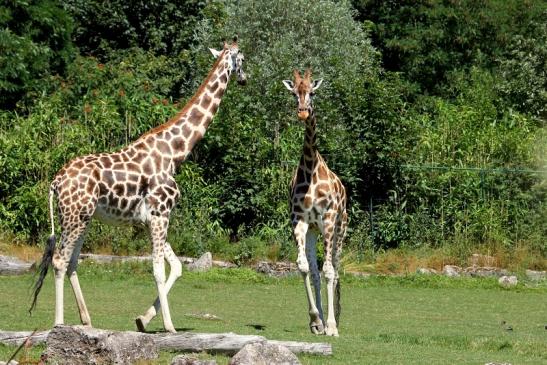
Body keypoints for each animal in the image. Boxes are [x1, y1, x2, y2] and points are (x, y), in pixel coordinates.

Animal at [31, 38, 249, 332]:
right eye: (243, 59)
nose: (245, 79)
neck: (175, 153)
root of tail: (56, 181)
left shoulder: (151, 218)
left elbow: (176, 266)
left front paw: (143, 320)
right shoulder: (160, 213)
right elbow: (158, 270)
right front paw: (169, 326)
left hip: (83, 217)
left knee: (73, 261)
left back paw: (86, 320)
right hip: (75, 216)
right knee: (59, 260)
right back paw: (59, 323)